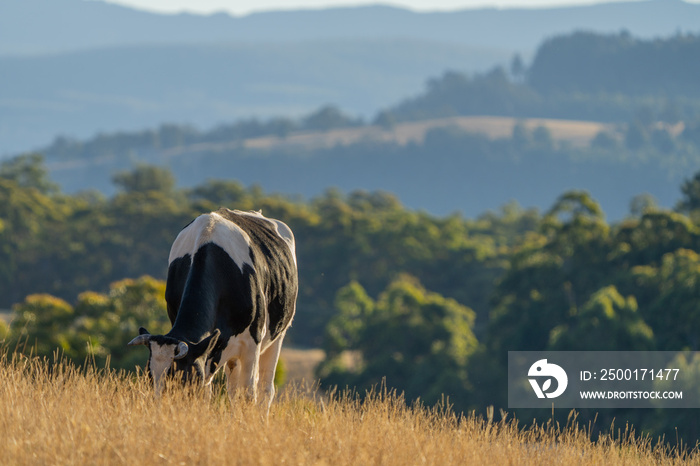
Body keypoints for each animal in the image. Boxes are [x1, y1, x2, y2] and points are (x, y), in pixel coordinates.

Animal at [127, 208, 296, 412]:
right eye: (149, 377)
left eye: (178, 377)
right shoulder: (204, 352)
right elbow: (207, 394)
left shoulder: (252, 343)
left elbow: (249, 395)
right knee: (233, 390)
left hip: (277, 335)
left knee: (265, 389)